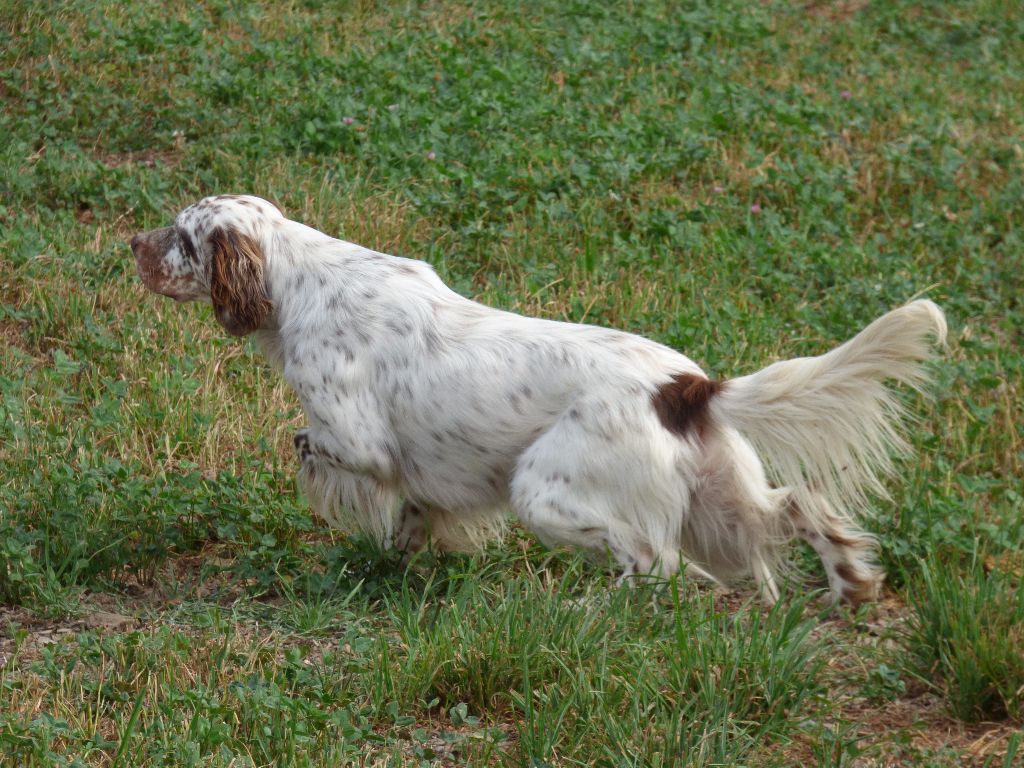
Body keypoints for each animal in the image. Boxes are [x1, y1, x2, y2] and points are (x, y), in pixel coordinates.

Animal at [132, 195, 946, 606]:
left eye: (181, 236)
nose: (130, 245)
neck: (299, 277)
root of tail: (687, 388)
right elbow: (412, 517)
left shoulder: (352, 432)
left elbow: (310, 446)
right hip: (718, 500)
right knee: (797, 510)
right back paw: (851, 580)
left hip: (547, 491)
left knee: (653, 562)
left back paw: (597, 614)